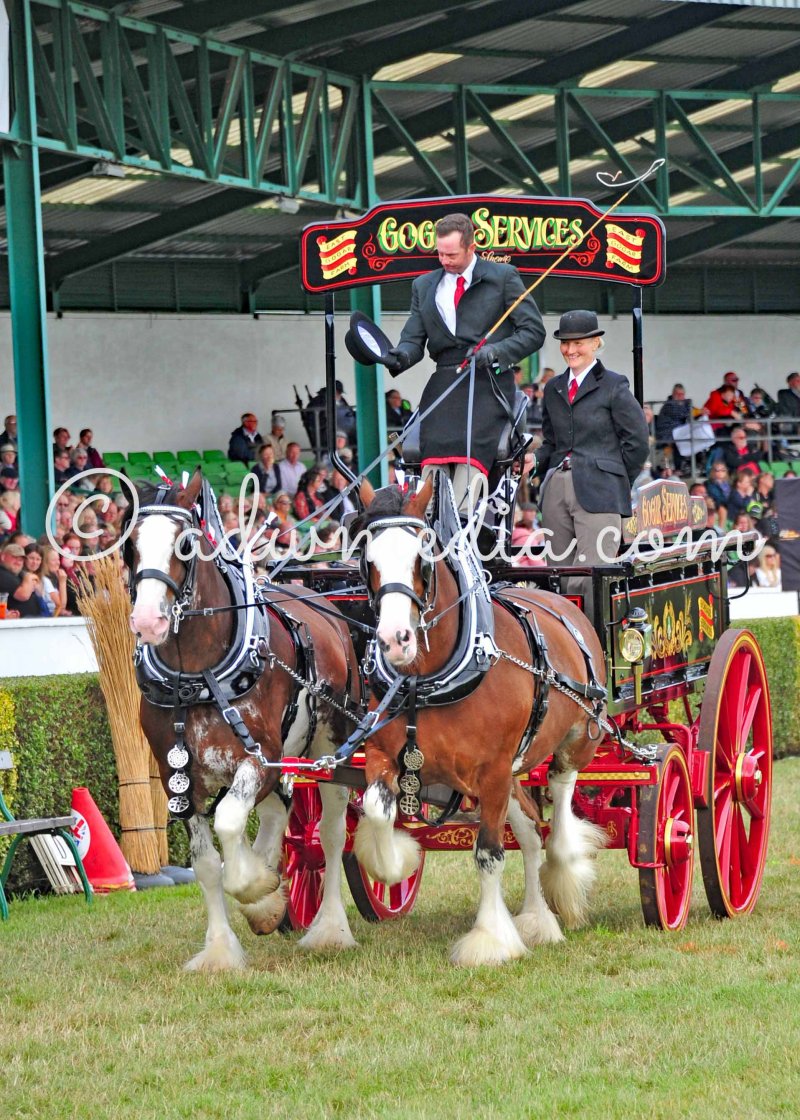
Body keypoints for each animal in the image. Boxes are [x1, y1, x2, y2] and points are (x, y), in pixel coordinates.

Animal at [125, 471, 361, 970]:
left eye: (184, 546)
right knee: (278, 812)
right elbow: (206, 865)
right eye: (131, 545)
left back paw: (330, 927)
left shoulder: (258, 757)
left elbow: (230, 823)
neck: (197, 675)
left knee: (330, 837)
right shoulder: (180, 779)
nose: (148, 621)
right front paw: (221, 947)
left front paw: (258, 892)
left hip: (329, 749)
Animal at [352, 476, 608, 966]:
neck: (429, 679)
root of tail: (555, 597)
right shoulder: (382, 755)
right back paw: (537, 918)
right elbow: (377, 810)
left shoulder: (491, 772)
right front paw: (396, 862)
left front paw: (489, 939)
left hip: (576, 738)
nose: (395, 640)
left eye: (423, 557)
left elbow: (488, 854)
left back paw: (564, 868)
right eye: (367, 560)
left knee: (560, 796)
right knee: (531, 831)